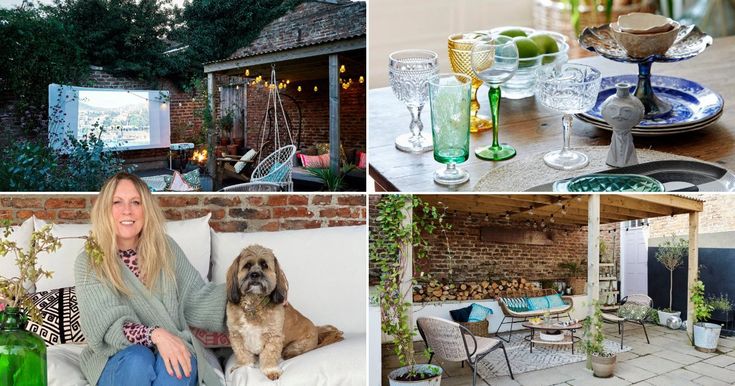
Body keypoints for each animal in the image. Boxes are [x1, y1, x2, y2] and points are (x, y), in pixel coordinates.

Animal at [226, 246, 344, 378]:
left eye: (264, 265)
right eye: (247, 265)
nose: (255, 274)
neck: (254, 304)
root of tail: (317, 330)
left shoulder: (274, 336)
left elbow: (269, 354)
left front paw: (270, 370)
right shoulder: (236, 335)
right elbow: (242, 353)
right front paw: (244, 366)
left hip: (296, 346)